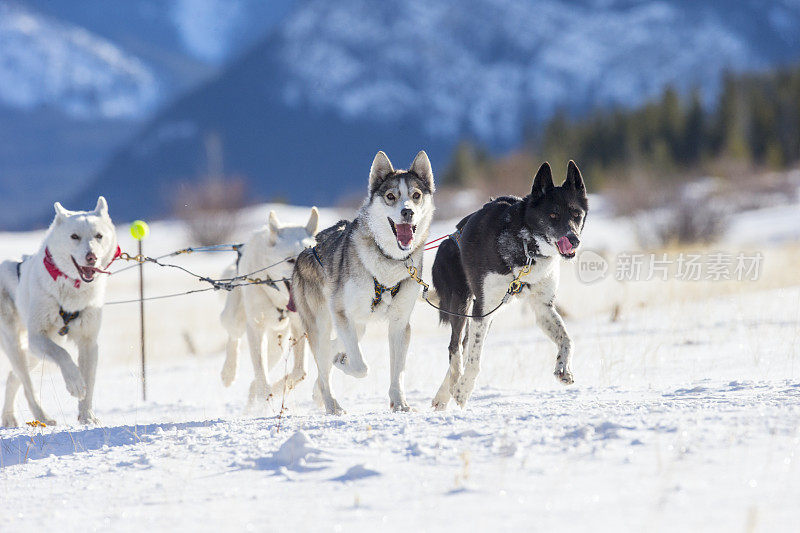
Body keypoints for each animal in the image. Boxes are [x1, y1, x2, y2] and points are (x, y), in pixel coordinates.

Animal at [0, 197, 119, 426]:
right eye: (74, 236)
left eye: (98, 236)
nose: (91, 257)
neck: (71, 289)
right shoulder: (38, 337)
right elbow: (63, 354)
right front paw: (74, 384)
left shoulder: (89, 342)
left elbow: (89, 382)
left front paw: (87, 416)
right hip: (17, 344)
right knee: (27, 384)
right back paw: (42, 416)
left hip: (33, 354)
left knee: (12, 377)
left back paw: (9, 418)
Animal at [220, 207, 320, 404]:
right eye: (290, 260)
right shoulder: (255, 327)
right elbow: (261, 372)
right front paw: (264, 396)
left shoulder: (300, 326)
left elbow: (299, 372)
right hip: (235, 318)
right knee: (233, 337)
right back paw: (229, 372)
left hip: (278, 343)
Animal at [290, 152, 434, 414]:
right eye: (391, 196)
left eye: (416, 195)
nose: (407, 212)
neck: (388, 261)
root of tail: (308, 249)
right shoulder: (341, 313)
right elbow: (360, 367)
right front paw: (344, 363)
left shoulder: (400, 324)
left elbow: (398, 372)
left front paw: (400, 403)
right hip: (323, 323)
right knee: (324, 360)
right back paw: (331, 403)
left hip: (358, 325)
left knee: (332, 350)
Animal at [432, 160, 588, 410]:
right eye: (553, 214)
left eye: (576, 214)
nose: (574, 240)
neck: (526, 247)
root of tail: (449, 238)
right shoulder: (483, 311)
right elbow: (474, 360)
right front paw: (464, 390)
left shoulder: (542, 307)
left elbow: (566, 339)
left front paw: (563, 367)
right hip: (462, 304)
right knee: (455, 347)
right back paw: (456, 383)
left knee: (463, 345)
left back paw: (444, 394)